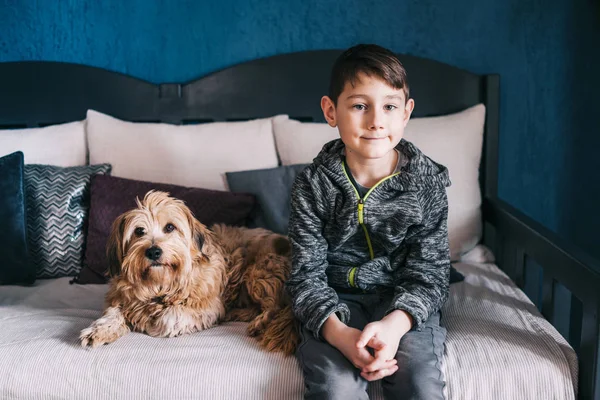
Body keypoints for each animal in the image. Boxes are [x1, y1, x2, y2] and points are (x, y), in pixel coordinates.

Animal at [80, 192, 298, 354]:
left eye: (170, 227)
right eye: (139, 231)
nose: (153, 251)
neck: (160, 285)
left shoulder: (207, 308)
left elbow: (169, 316)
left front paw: (147, 320)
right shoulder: (119, 298)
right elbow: (113, 312)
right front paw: (99, 330)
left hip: (259, 272)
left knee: (275, 305)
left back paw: (260, 322)